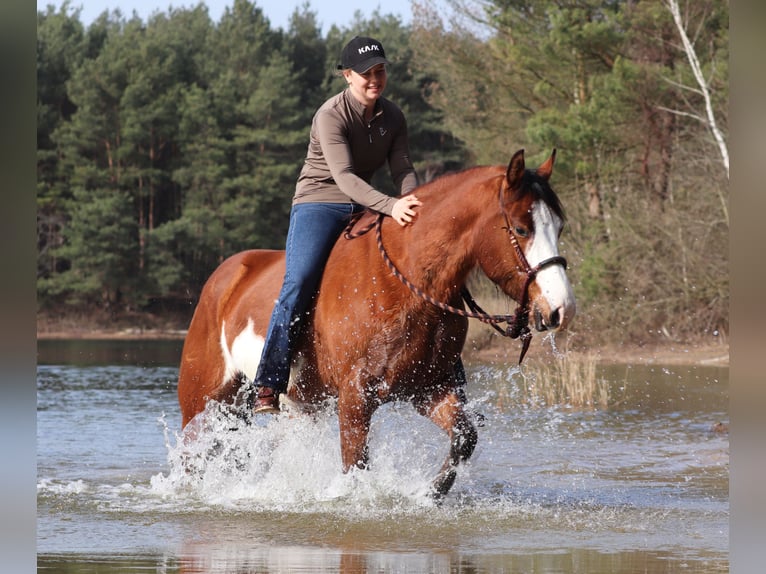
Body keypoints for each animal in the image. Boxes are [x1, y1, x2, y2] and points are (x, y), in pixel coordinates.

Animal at [177, 149, 575, 498]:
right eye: (521, 229)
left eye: (558, 226)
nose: (561, 309)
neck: (407, 284)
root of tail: (224, 277)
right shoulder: (356, 396)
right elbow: (355, 465)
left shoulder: (428, 388)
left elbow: (465, 437)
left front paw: (429, 494)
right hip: (203, 401)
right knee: (190, 455)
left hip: (292, 407)